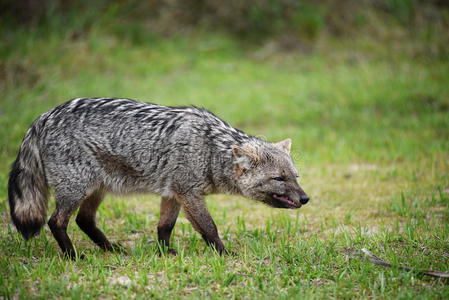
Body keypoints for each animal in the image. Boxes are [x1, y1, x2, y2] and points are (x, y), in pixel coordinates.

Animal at [7, 98, 308, 258]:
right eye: (279, 179)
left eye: (295, 176)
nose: (305, 198)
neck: (210, 149)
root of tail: (44, 116)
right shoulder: (188, 193)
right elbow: (210, 227)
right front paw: (223, 254)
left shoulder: (172, 193)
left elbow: (164, 227)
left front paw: (165, 253)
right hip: (76, 191)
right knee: (56, 221)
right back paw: (72, 256)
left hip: (97, 190)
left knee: (84, 221)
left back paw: (111, 249)